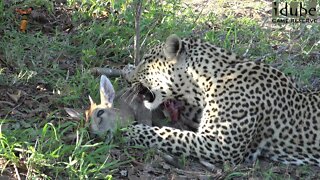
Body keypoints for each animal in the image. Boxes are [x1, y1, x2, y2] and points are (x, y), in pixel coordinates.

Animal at [124, 33, 320, 166]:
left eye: (146, 60)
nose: (129, 80)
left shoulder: (220, 144)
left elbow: (172, 135)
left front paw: (131, 131)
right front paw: (127, 69)